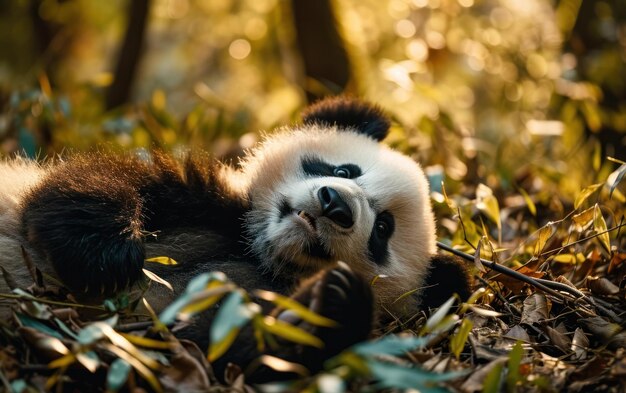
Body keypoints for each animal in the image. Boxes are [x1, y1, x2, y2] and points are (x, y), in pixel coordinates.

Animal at [0, 97, 468, 380]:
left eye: (383, 230)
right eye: (344, 170)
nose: (334, 203)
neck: (257, 250)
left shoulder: (235, 310)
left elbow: (238, 352)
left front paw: (336, 299)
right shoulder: (205, 204)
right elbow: (79, 191)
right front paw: (108, 257)